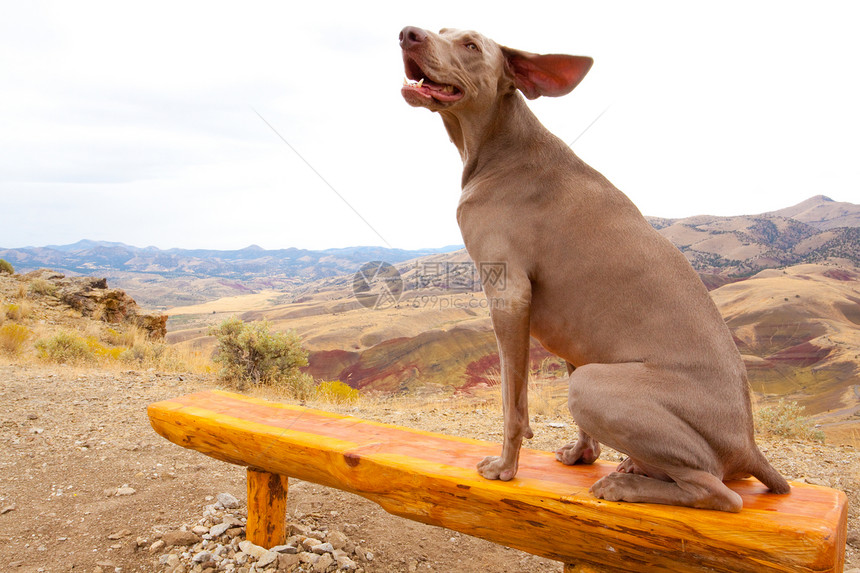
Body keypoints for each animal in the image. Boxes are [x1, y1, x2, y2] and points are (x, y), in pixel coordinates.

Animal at [396, 24, 788, 512]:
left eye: (470, 44)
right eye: (442, 31)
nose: (408, 34)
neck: (499, 144)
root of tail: (750, 444)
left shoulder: (509, 294)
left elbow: (512, 403)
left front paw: (505, 468)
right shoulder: (571, 328)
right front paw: (582, 454)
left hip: (594, 386)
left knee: (718, 491)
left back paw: (625, 485)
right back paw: (633, 466)